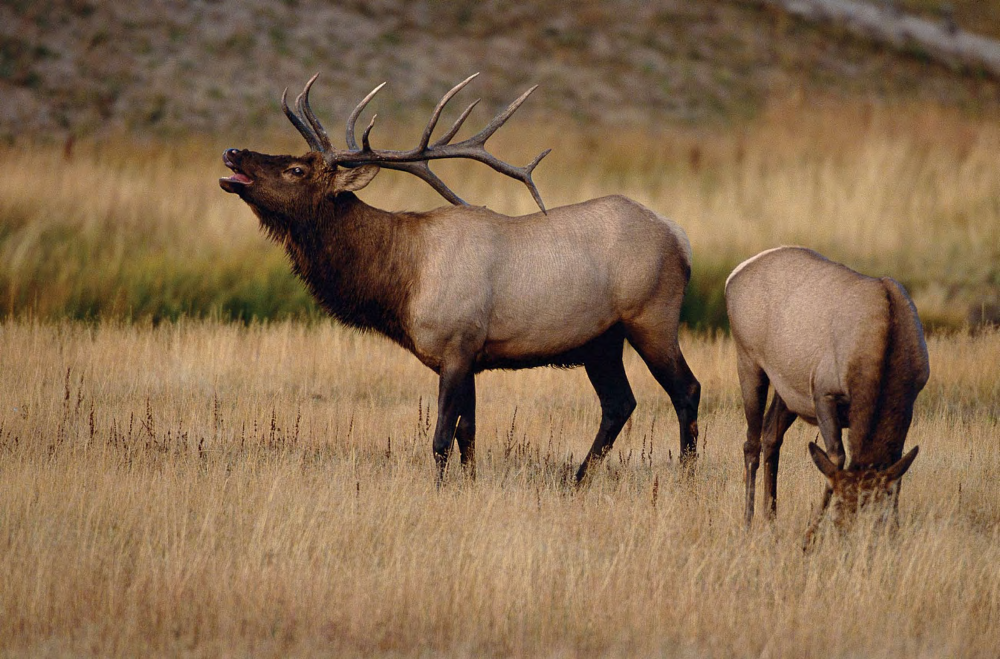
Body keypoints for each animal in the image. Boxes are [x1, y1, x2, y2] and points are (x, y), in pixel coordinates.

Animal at [218, 73, 701, 483]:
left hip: (652, 316)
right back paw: (578, 480)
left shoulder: (455, 344)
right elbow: (468, 435)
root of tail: (680, 237)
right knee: (619, 403)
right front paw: (467, 486)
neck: (400, 280)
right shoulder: (471, 354)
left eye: (296, 170)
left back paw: (686, 477)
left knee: (686, 390)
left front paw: (438, 490)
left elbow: (440, 439)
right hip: (601, 340)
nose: (233, 152)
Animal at [725, 246, 929, 540]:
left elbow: (896, 469)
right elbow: (835, 459)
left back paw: (771, 519)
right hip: (748, 361)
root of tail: (733, 277)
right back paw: (748, 522)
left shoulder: (911, 399)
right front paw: (810, 534)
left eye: (878, 515)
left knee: (771, 435)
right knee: (751, 442)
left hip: (787, 391)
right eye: (840, 515)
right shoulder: (823, 393)